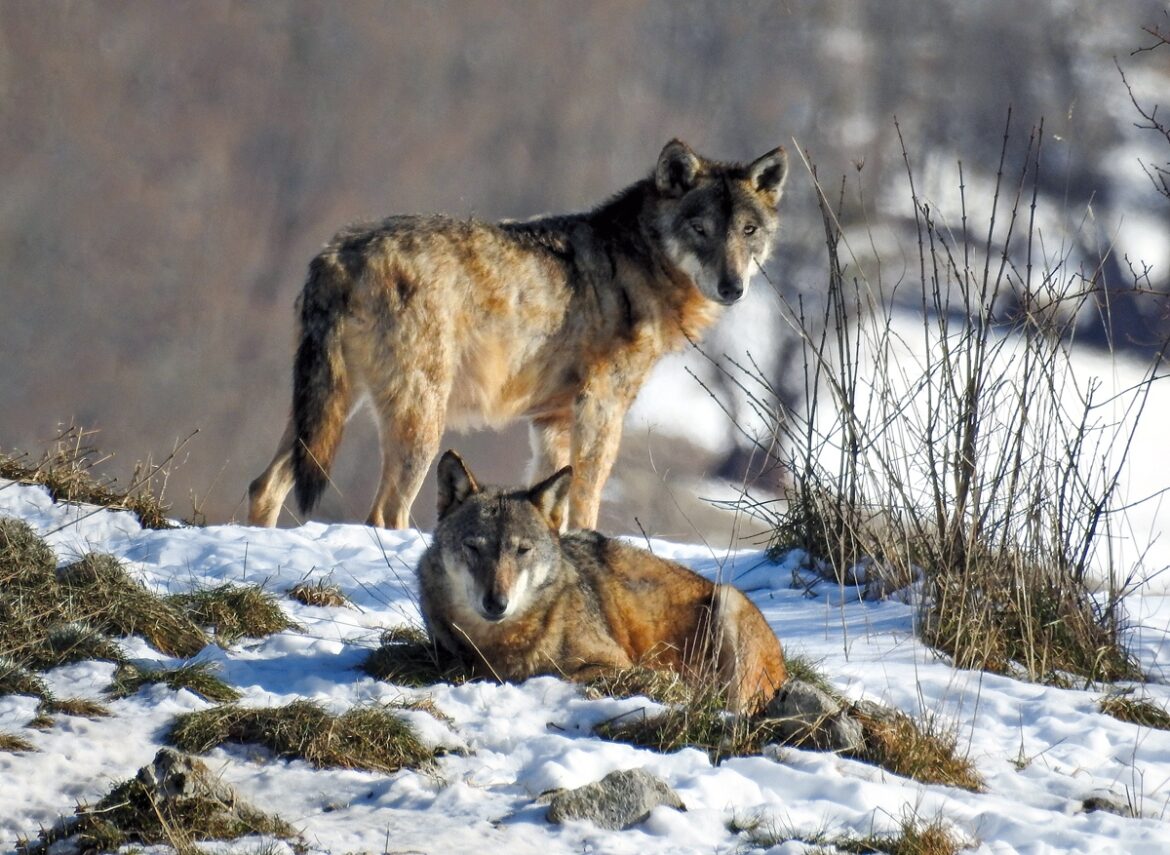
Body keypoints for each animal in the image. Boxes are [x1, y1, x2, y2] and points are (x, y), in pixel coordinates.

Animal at [250, 138, 790, 528]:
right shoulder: (601, 407)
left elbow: (552, 495)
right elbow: (587, 497)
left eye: (748, 231)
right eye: (700, 229)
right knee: (383, 513)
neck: (638, 262)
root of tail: (339, 254)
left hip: (332, 409)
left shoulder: (551, 422)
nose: (733, 287)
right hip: (421, 421)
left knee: (264, 485)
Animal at [411, 451, 786, 720]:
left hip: (729, 604)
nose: (496, 603)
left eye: (522, 550)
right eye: (474, 547)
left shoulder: (614, 661)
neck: (503, 642)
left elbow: (564, 676)